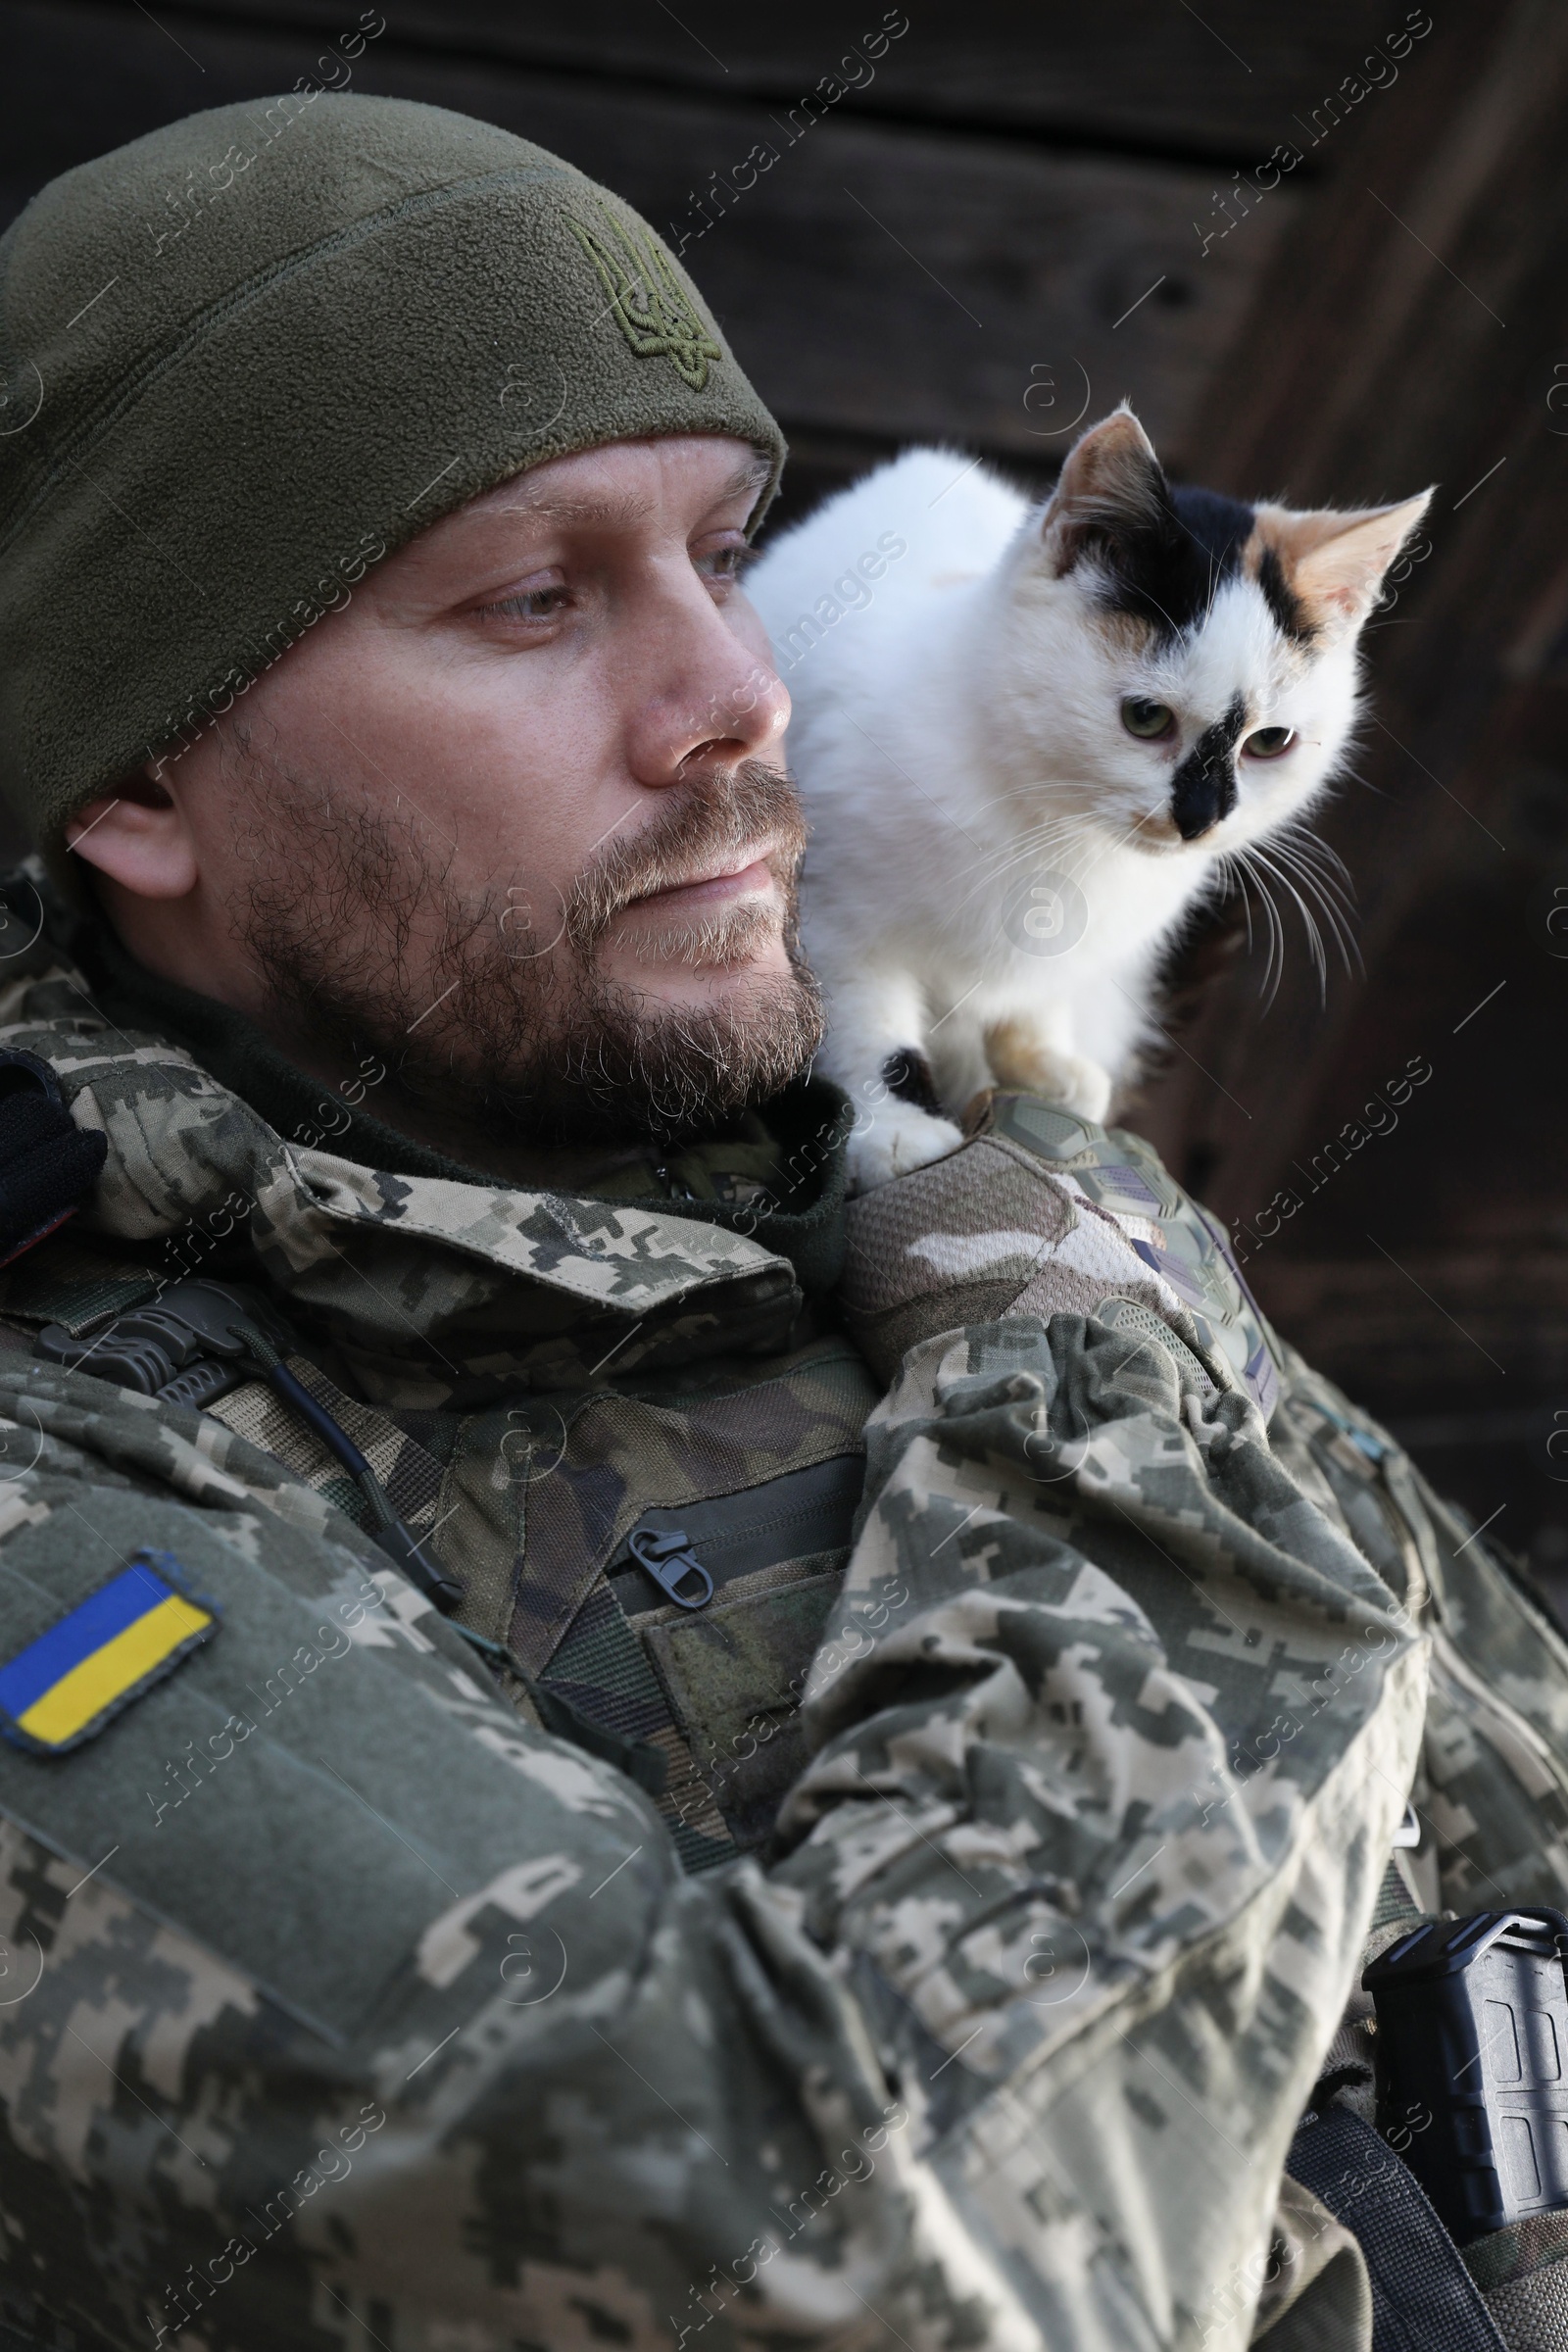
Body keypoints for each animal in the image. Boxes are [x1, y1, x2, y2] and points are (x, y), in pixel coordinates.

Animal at [752, 402, 1439, 1195]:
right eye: (1145, 718)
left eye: (1270, 742)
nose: (1199, 818)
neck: (1059, 828)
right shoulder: (830, 918)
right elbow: (867, 1027)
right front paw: (894, 1128)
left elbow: (1037, 991)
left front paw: (1039, 1060)